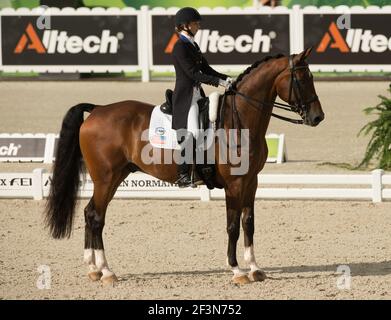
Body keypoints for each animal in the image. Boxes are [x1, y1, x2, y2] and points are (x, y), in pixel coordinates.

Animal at [45, 47, 324, 284]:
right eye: (302, 79)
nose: (317, 117)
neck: (240, 120)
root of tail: (97, 110)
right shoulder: (234, 184)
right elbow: (233, 226)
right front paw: (237, 271)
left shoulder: (251, 181)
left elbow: (249, 223)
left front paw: (255, 268)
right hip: (106, 177)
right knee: (96, 216)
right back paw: (106, 271)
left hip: (114, 177)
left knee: (90, 212)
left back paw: (93, 269)